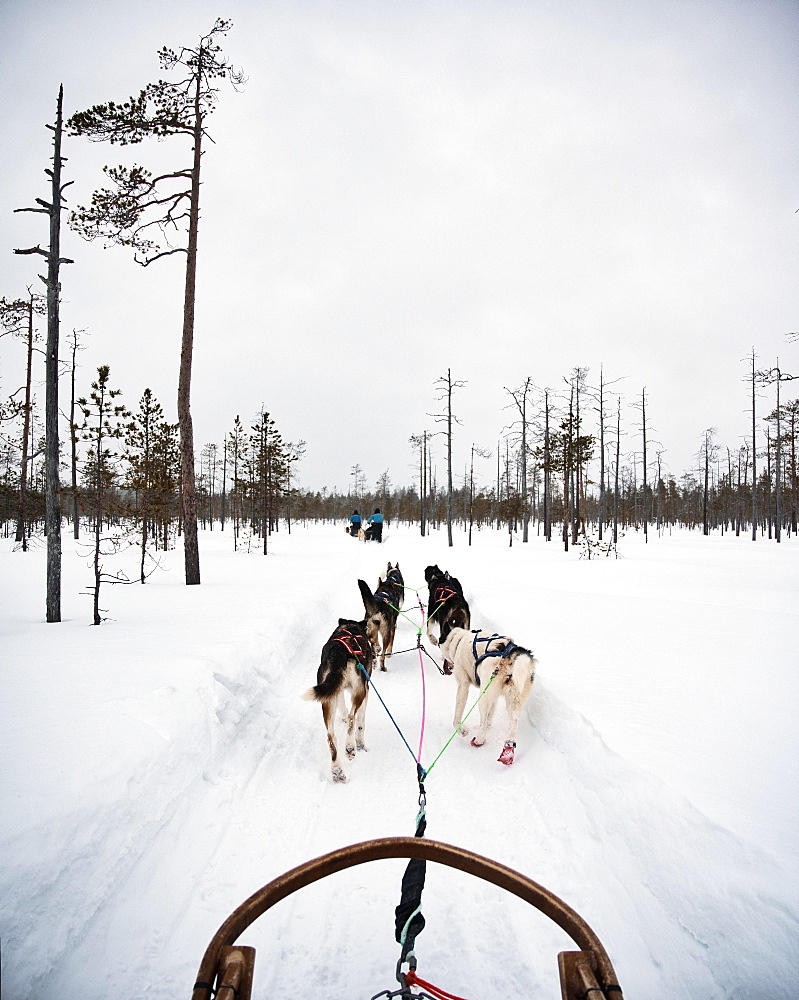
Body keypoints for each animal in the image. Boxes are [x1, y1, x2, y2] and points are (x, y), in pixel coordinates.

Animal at [304, 616, 376, 780]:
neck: (349, 627)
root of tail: (338, 652)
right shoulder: (366, 689)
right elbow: (361, 722)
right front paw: (360, 743)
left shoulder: (337, 691)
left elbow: (342, 707)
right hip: (359, 691)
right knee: (352, 718)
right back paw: (350, 748)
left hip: (327, 700)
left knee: (331, 736)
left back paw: (337, 770)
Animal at [434, 624, 540, 764]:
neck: (459, 640)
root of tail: (511, 654)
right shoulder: (493, 696)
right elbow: (491, 714)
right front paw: (490, 724)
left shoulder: (463, 686)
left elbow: (457, 718)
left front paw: (462, 731)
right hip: (513, 700)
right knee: (513, 722)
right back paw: (508, 752)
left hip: (483, 697)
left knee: (483, 723)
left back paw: (479, 740)